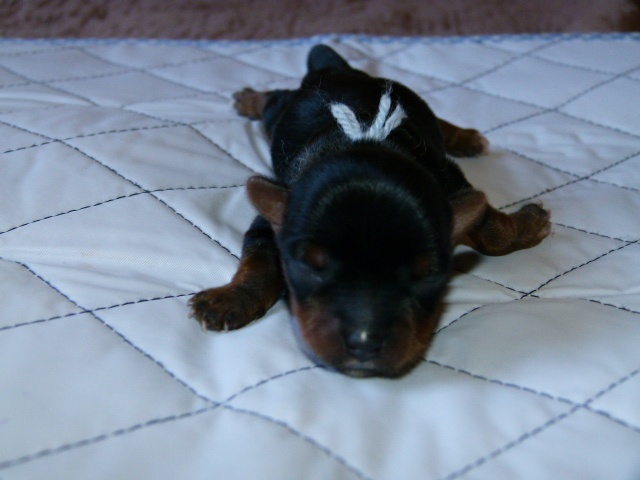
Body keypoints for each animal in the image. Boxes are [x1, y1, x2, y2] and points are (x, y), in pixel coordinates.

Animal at [190, 45, 550, 378]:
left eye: (425, 275)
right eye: (310, 266)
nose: (363, 343)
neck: (364, 141)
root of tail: (339, 69)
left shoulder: (451, 182)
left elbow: (489, 227)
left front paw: (528, 224)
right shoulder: (271, 218)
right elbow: (260, 262)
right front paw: (231, 299)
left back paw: (464, 138)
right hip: (281, 116)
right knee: (275, 99)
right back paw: (251, 99)